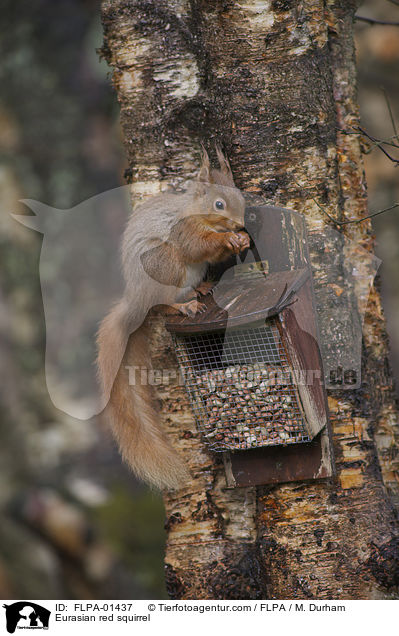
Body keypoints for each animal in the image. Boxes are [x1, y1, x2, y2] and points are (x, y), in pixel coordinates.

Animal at [97, 148, 250, 486]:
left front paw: (240, 240)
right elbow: (198, 246)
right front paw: (227, 240)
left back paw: (202, 289)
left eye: (242, 198)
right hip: (165, 264)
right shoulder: (183, 232)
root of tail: (136, 301)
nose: (241, 226)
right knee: (162, 304)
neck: (196, 211)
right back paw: (183, 307)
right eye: (219, 204)